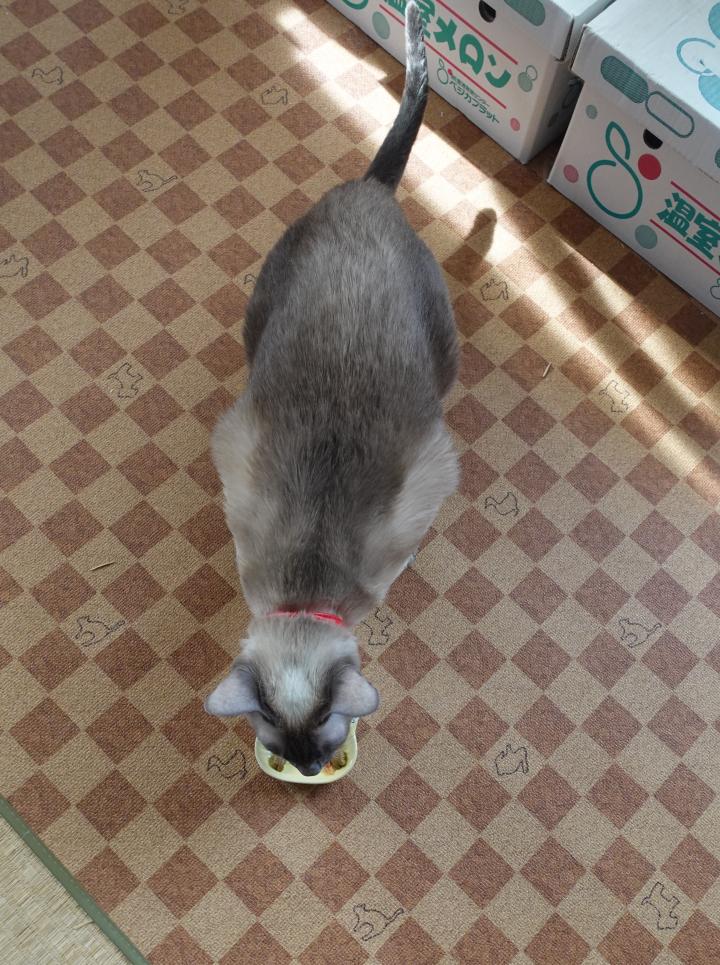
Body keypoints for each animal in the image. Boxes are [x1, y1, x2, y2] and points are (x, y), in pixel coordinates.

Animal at [205, 2, 459, 776]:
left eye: (320, 743)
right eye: (279, 749)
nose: (313, 770)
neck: (305, 593)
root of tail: (368, 193)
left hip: (443, 358)